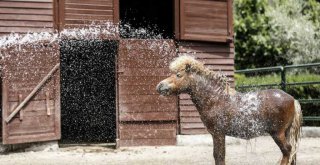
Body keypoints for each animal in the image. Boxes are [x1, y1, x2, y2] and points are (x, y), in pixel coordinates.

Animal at [156, 55, 302, 165]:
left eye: (178, 75)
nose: (160, 86)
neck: (216, 99)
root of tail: (292, 99)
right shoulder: (216, 135)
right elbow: (217, 156)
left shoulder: (218, 134)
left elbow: (220, 157)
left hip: (277, 134)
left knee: (287, 151)